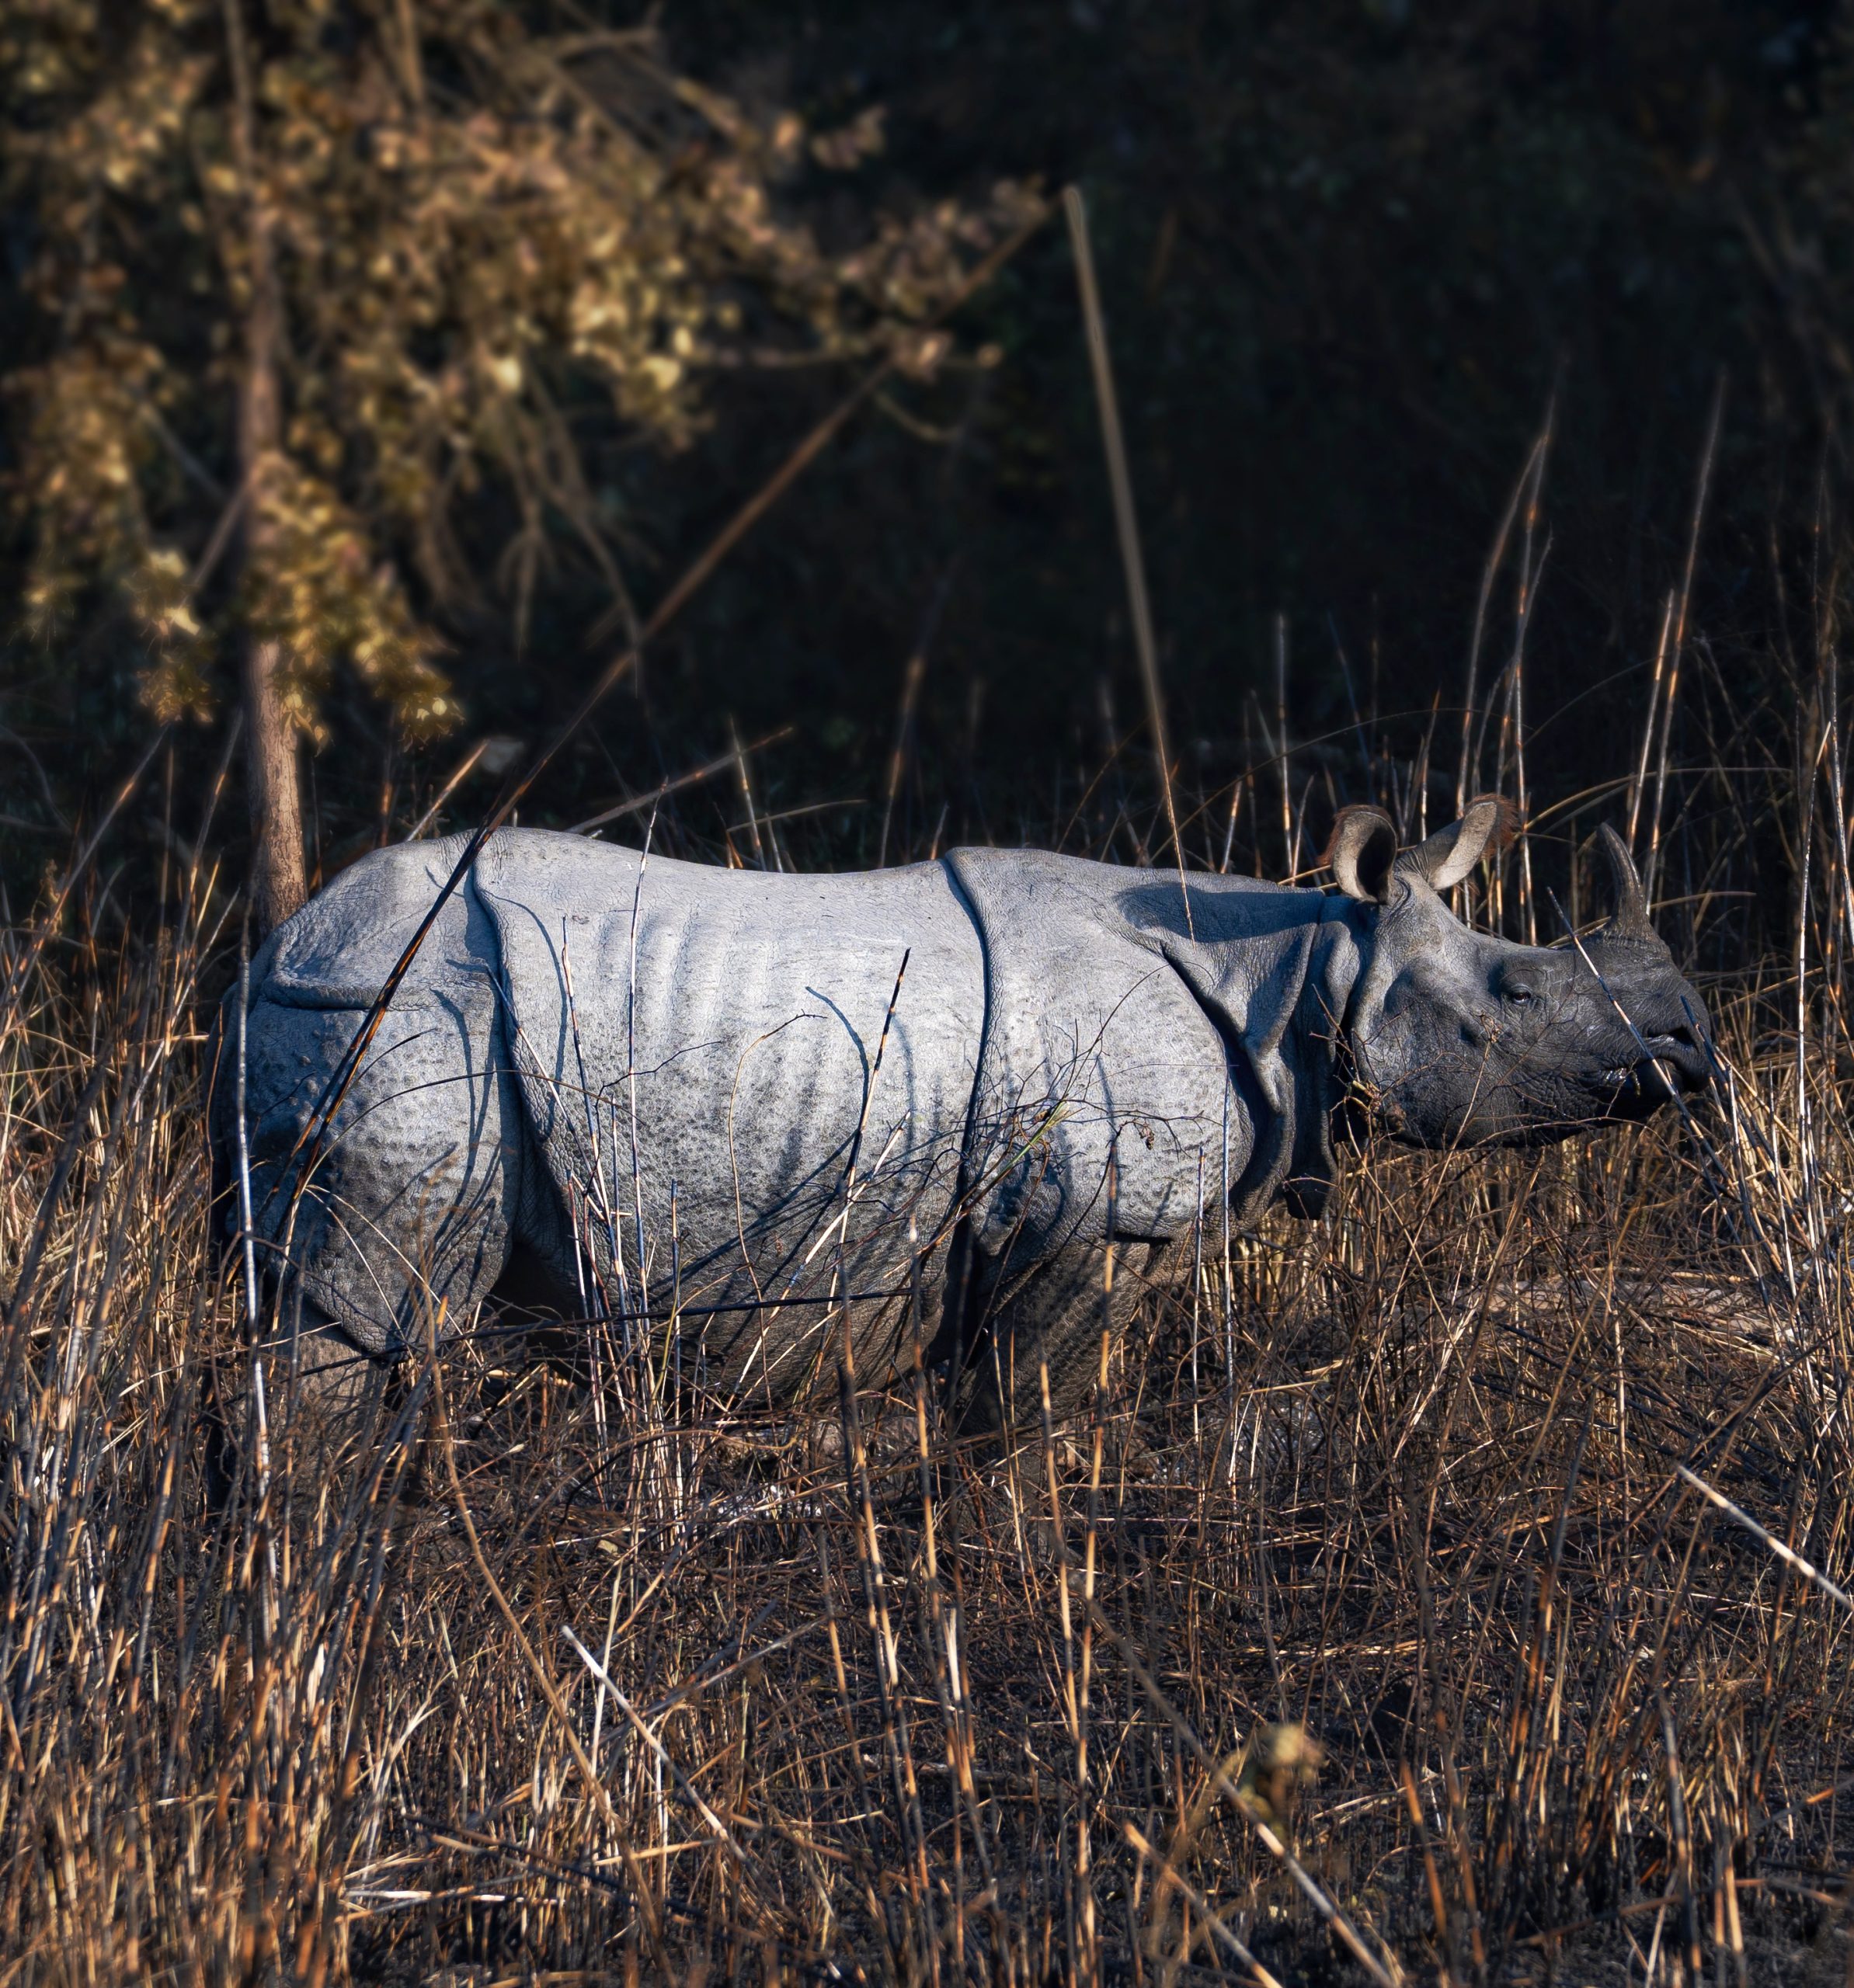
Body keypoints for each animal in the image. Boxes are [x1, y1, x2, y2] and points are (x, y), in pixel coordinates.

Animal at [210, 798, 1710, 1430]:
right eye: (1514, 996)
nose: (1692, 1048)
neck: (1296, 970)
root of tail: (272, 950)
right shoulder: (1084, 1227)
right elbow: (1019, 1428)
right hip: (393, 1015)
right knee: (366, 1329)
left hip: (360, 1013)